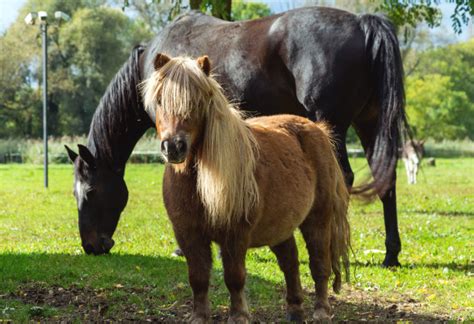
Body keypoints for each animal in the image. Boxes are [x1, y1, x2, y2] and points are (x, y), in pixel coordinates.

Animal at [65, 6, 408, 266]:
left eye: (90, 192)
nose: (91, 246)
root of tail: (362, 23)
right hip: (369, 123)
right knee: (386, 180)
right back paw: (391, 254)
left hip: (332, 124)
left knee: (343, 178)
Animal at [143, 53, 350, 322]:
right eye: (159, 100)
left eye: (198, 102)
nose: (173, 147)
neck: (198, 186)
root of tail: (318, 130)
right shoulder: (188, 234)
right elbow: (198, 278)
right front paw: (199, 316)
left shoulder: (235, 235)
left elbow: (234, 277)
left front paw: (239, 315)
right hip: (280, 226)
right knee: (290, 262)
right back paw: (295, 310)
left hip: (318, 220)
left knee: (319, 264)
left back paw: (321, 310)